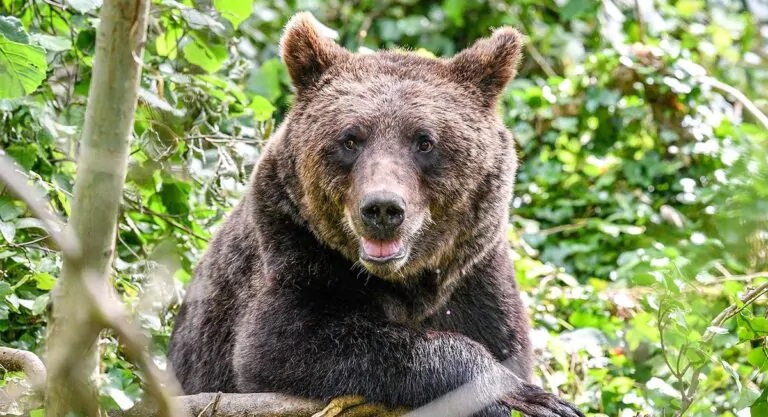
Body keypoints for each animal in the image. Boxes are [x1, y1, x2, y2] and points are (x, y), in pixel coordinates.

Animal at [168, 12, 583, 417]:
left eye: (425, 142)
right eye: (350, 139)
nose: (383, 208)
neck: (407, 282)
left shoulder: (475, 279)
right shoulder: (293, 249)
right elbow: (283, 344)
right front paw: (518, 395)